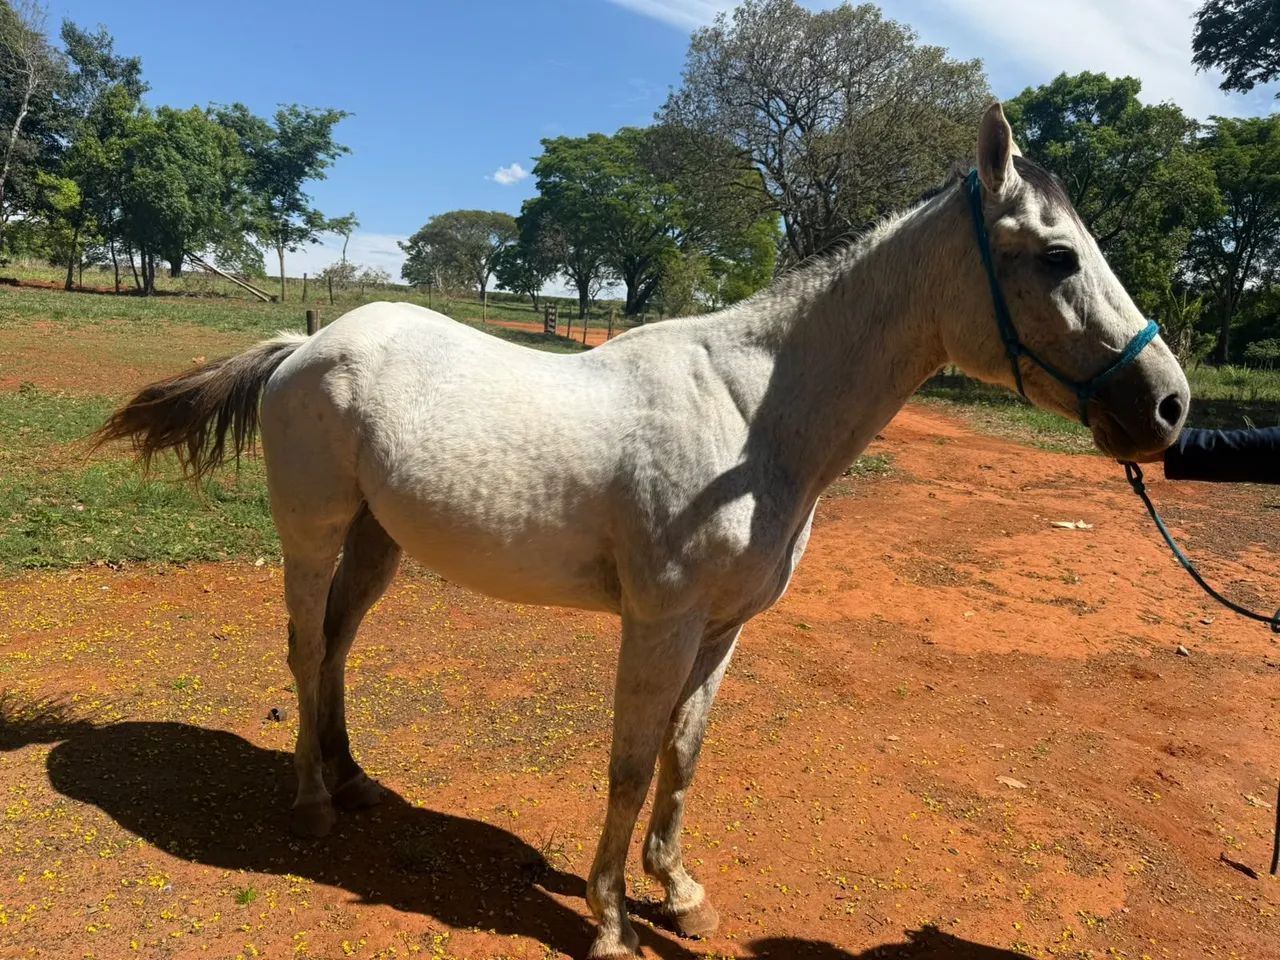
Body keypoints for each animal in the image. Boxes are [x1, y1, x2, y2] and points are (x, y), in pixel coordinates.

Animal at [96, 104, 1189, 959]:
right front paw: (613, 920)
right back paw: (312, 803)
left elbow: (683, 754)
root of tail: (304, 345)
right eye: (1057, 256)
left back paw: (354, 780)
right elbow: (628, 760)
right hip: (315, 536)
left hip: (378, 544)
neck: (750, 417)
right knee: (299, 647)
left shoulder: (723, 629)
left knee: (332, 649)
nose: (1168, 406)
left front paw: (680, 894)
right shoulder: (659, 624)